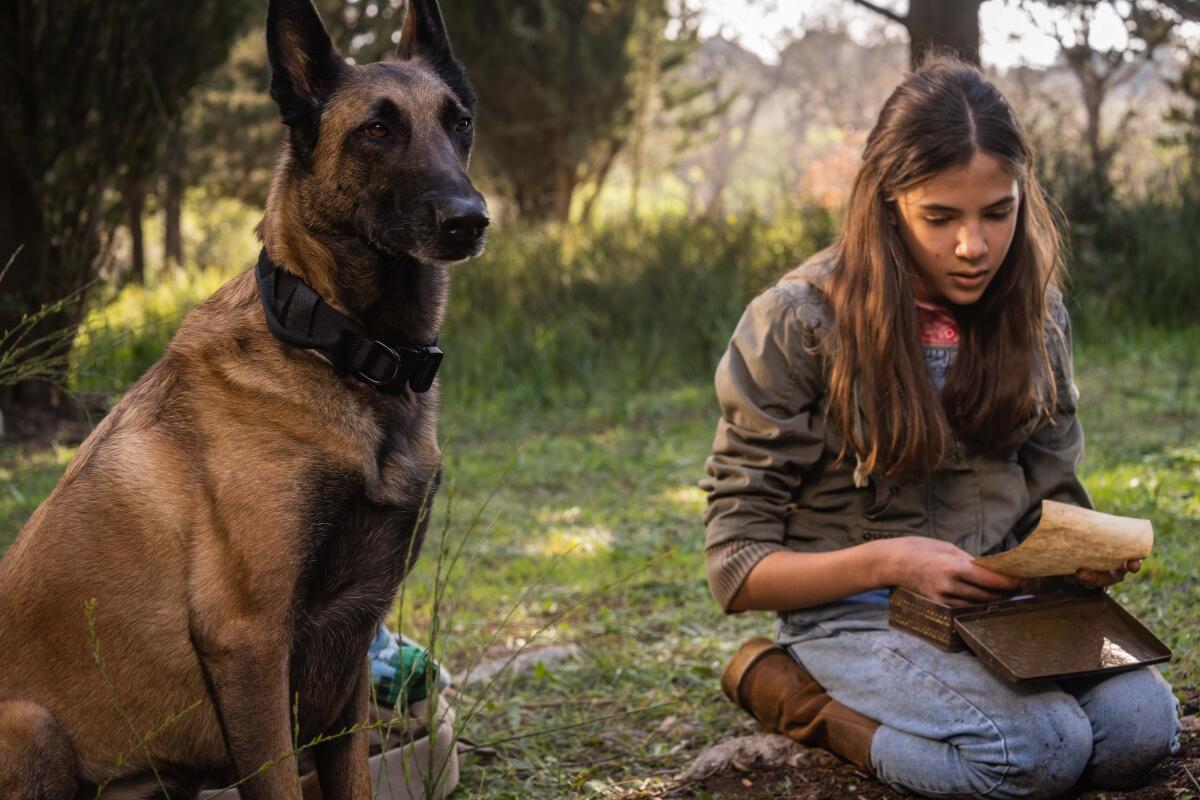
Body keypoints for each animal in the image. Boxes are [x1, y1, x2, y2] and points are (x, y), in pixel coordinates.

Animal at [1, 0, 487, 796]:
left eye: (460, 122)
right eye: (375, 130)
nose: (469, 219)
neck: (340, 348)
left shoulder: (348, 655)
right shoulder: (250, 643)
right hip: (30, 727)